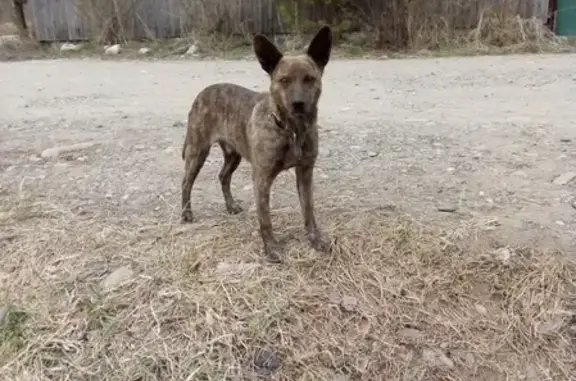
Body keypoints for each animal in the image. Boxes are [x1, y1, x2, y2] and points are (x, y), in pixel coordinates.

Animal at [180, 23, 332, 262]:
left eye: (309, 78)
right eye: (284, 80)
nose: (298, 104)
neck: (291, 130)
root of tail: (204, 91)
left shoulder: (305, 173)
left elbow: (308, 210)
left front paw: (315, 240)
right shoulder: (261, 178)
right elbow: (265, 219)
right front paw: (271, 248)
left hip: (234, 155)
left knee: (223, 176)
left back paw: (231, 205)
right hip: (197, 151)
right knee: (186, 183)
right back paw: (186, 212)